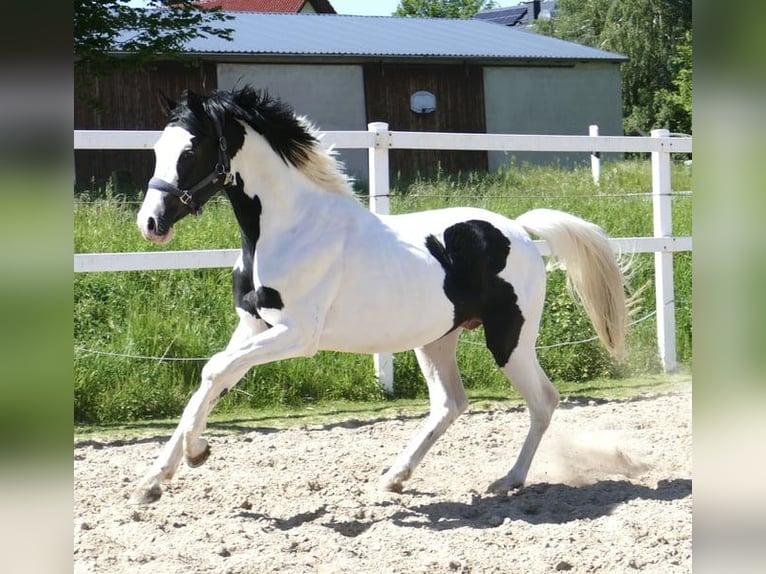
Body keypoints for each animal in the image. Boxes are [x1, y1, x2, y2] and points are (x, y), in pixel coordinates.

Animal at [132, 83, 632, 506]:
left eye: (190, 150)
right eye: (156, 150)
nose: (151, 223)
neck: (290, 229)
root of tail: (520, 231)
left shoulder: (297, 335)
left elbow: (215, 371)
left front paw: (194, 454)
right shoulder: (253, 326)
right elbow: (212, 379)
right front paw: (155, 480)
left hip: (510, 339)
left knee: (543, 400)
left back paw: (508, 480)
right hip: (436, 340)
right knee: (451, 403)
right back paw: (395, 477)